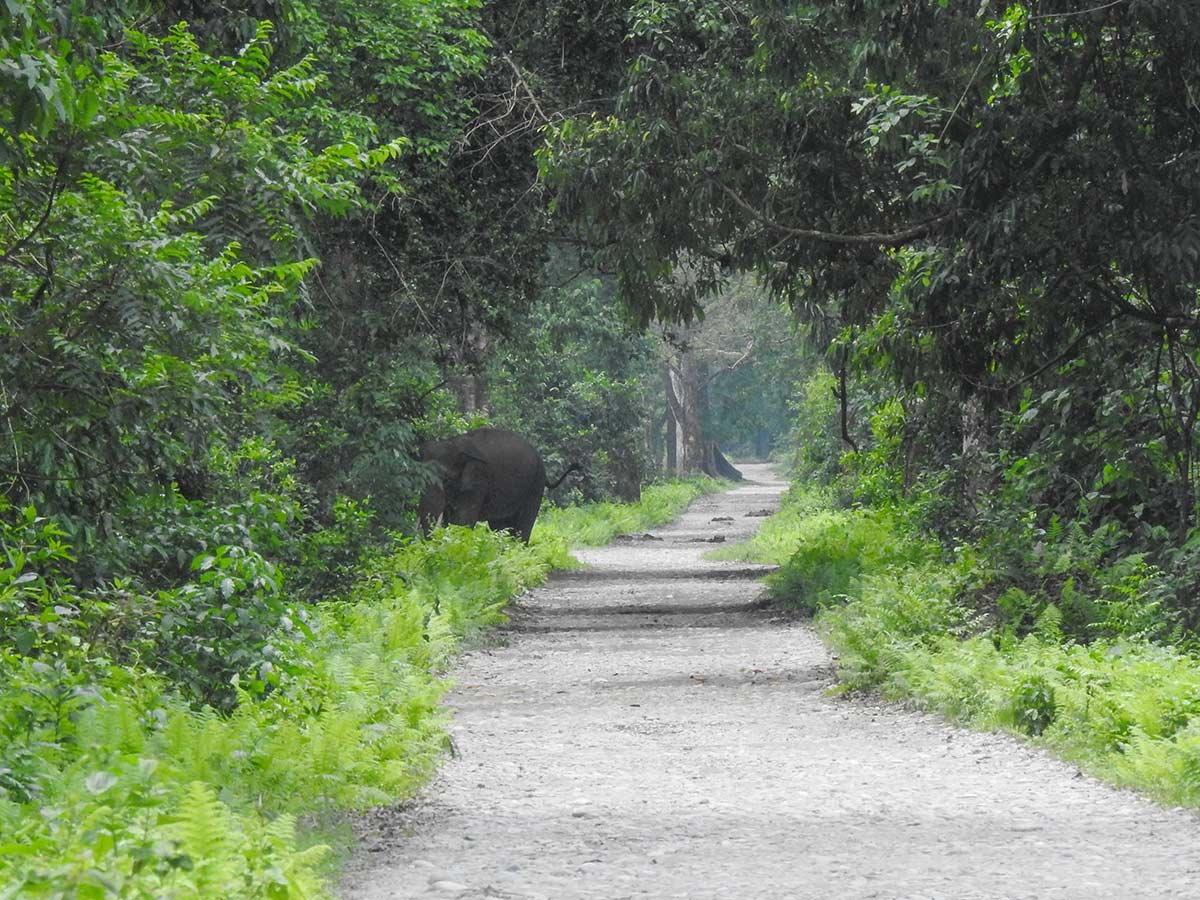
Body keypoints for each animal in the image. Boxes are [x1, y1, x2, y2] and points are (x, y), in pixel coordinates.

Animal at [415, 427, 578, 547]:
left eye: (446, 479)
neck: (453, 443)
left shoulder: (478, 481)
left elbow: (463, 519)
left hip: (535, 485)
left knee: (524, 523)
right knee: (500, 525)